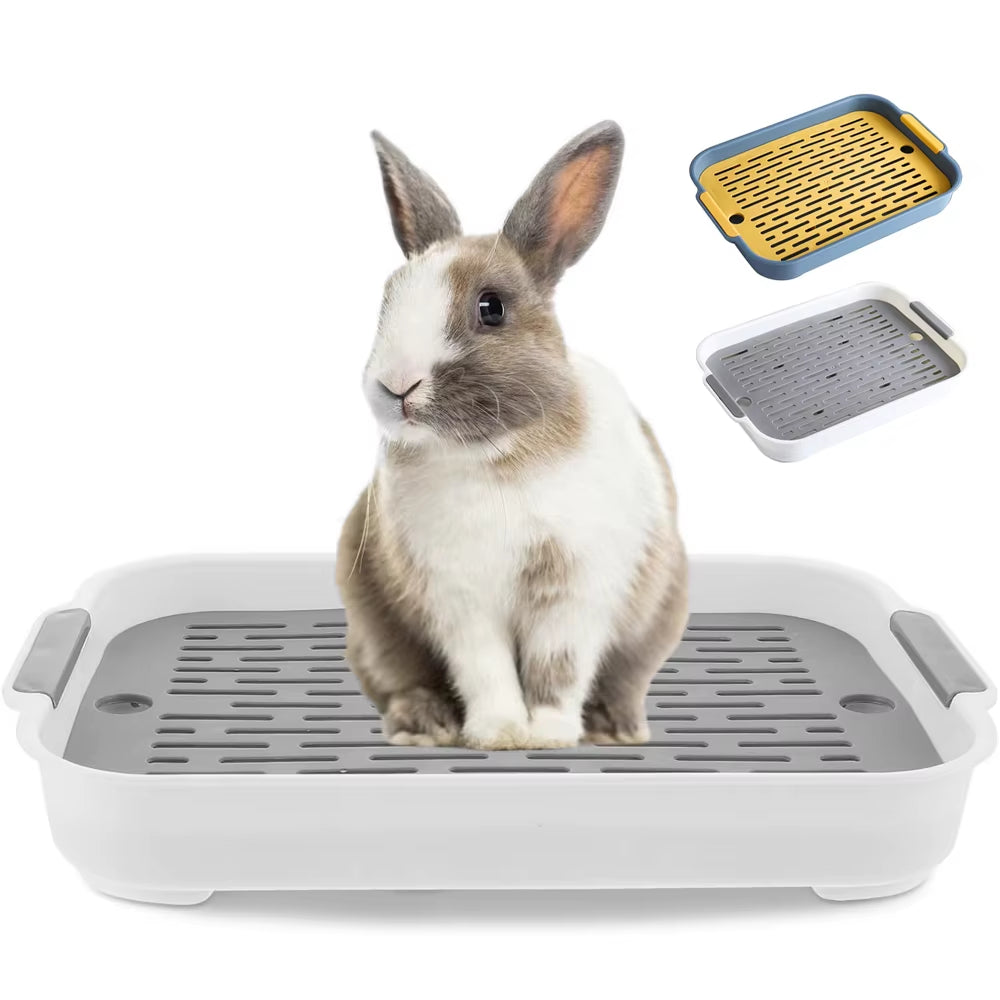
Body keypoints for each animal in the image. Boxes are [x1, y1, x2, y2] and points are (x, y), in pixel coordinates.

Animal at [336, 120, 687, 750]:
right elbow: (486, 669)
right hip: (373, 631)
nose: (396, 385)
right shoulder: (459, 599)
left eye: (491, 308)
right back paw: (425, 726)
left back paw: (616, 729)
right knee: (400, 681)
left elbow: (558, 667)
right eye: (387, 300)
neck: (493, 455)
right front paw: (499, 733)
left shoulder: (575, 590)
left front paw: (547, 734)